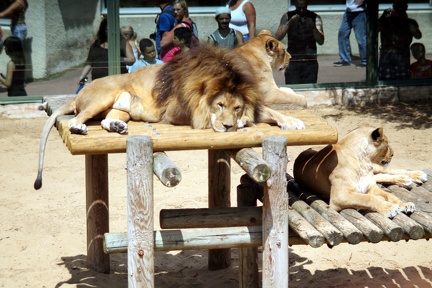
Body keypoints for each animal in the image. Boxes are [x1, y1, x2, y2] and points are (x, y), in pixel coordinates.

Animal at [33, 44, 304, 189]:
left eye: (236, 107)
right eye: (219, 105)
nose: (228, 126)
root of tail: (81, 92)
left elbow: (270, 111)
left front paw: (293, 121)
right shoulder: (180, 112)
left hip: (121, 107)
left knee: (106, 120)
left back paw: (119, 127)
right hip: (103, 96)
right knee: (75, 120)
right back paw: (80, 128)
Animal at [292, 126, 426, 218]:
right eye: (387, 143)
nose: (393, 154)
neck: (363, 161)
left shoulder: (371, 187)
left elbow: (390, 195)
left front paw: (404, 204)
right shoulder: (339, 197)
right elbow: (368, 198)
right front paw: (389, 207)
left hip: (377, 168)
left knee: (387, 171)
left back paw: (417, 176)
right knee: (382, 175)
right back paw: (406, 179)